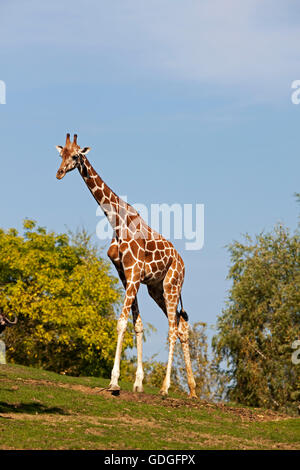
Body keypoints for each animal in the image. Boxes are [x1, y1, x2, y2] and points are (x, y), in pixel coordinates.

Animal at [55, 134, 197, 398]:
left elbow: (122, 323)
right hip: (156, 289)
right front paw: (138, 383)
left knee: (173, 329)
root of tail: (183, 264)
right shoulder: (127, 275)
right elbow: (137, 325)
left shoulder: (133, 275)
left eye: (76, 155)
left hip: (171, 285)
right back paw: (193, 391)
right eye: (61, 154)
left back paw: (165, 388)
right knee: (182, 326)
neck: (117, 223)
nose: (59, 173)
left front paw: (114, 382)